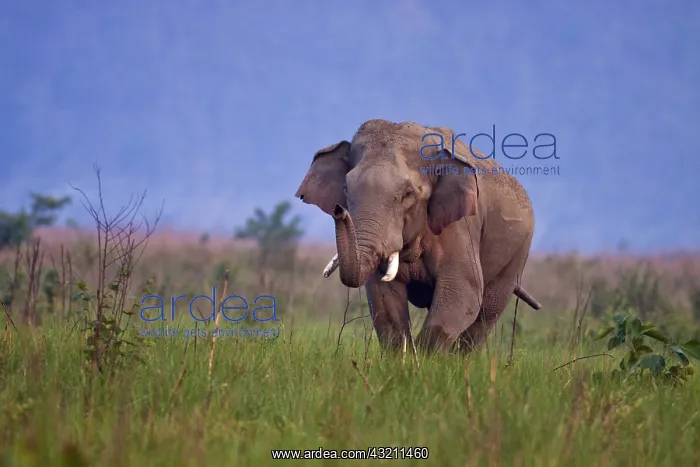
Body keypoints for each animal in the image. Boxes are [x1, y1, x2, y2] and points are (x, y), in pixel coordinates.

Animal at [294, 119, 541, 354]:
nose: (339, 210)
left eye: (407, 195)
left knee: (483, 319)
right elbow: (385, 303)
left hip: (517, 253)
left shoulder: (460, 226)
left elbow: (463, 293)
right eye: (346, 188)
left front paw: (426, 362)